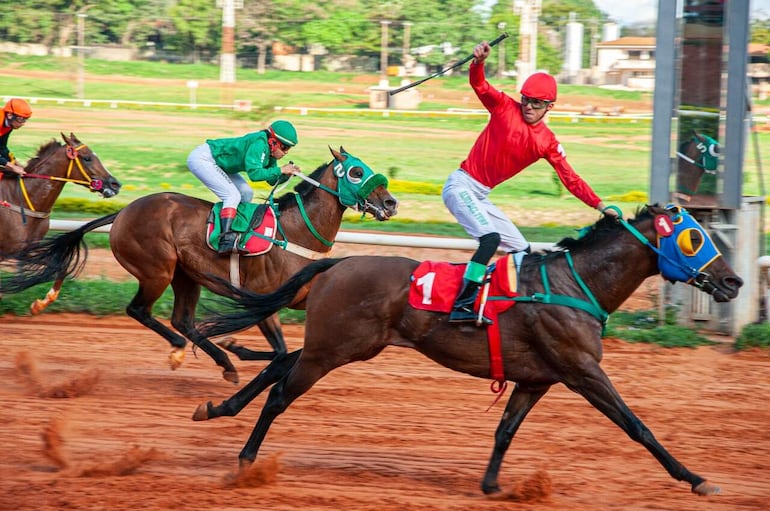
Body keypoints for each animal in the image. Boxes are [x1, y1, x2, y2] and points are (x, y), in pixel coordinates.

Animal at [6, 146, 400, 382]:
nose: (391, 202)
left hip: (187, 275)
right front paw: (235, 346)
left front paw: (233, 348)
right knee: (141, 310)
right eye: (355, 172)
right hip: (158, 269)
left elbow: (282, 350)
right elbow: (278, 350)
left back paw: (216, 360)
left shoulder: (297, 297)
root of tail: (125, 211)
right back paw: (189, 352)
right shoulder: (265, 298)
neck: (295, 231)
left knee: (183, 320)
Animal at [195, 205, 740, 500]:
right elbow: (637, 426)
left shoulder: (536, 379)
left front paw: (493, 486)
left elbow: (504, 431)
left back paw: (217, 408)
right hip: (333, 350)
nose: (733, 282)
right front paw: (695, 479)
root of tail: (338, 262)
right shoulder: (582, 371)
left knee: (281, 364)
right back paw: (246, 460)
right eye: (696, 237)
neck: (575, 285)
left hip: (340, 345)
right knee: (281, 393)